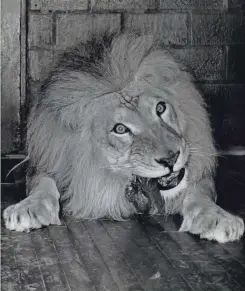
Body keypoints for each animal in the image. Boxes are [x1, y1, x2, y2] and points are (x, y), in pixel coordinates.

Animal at [3, 32, 243, 244]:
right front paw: (28, 209)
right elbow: (42, 184)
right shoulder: (50, 160)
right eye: (120, 129)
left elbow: (200, 194)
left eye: (160, 108)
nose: (171, 159)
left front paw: (217, 218)